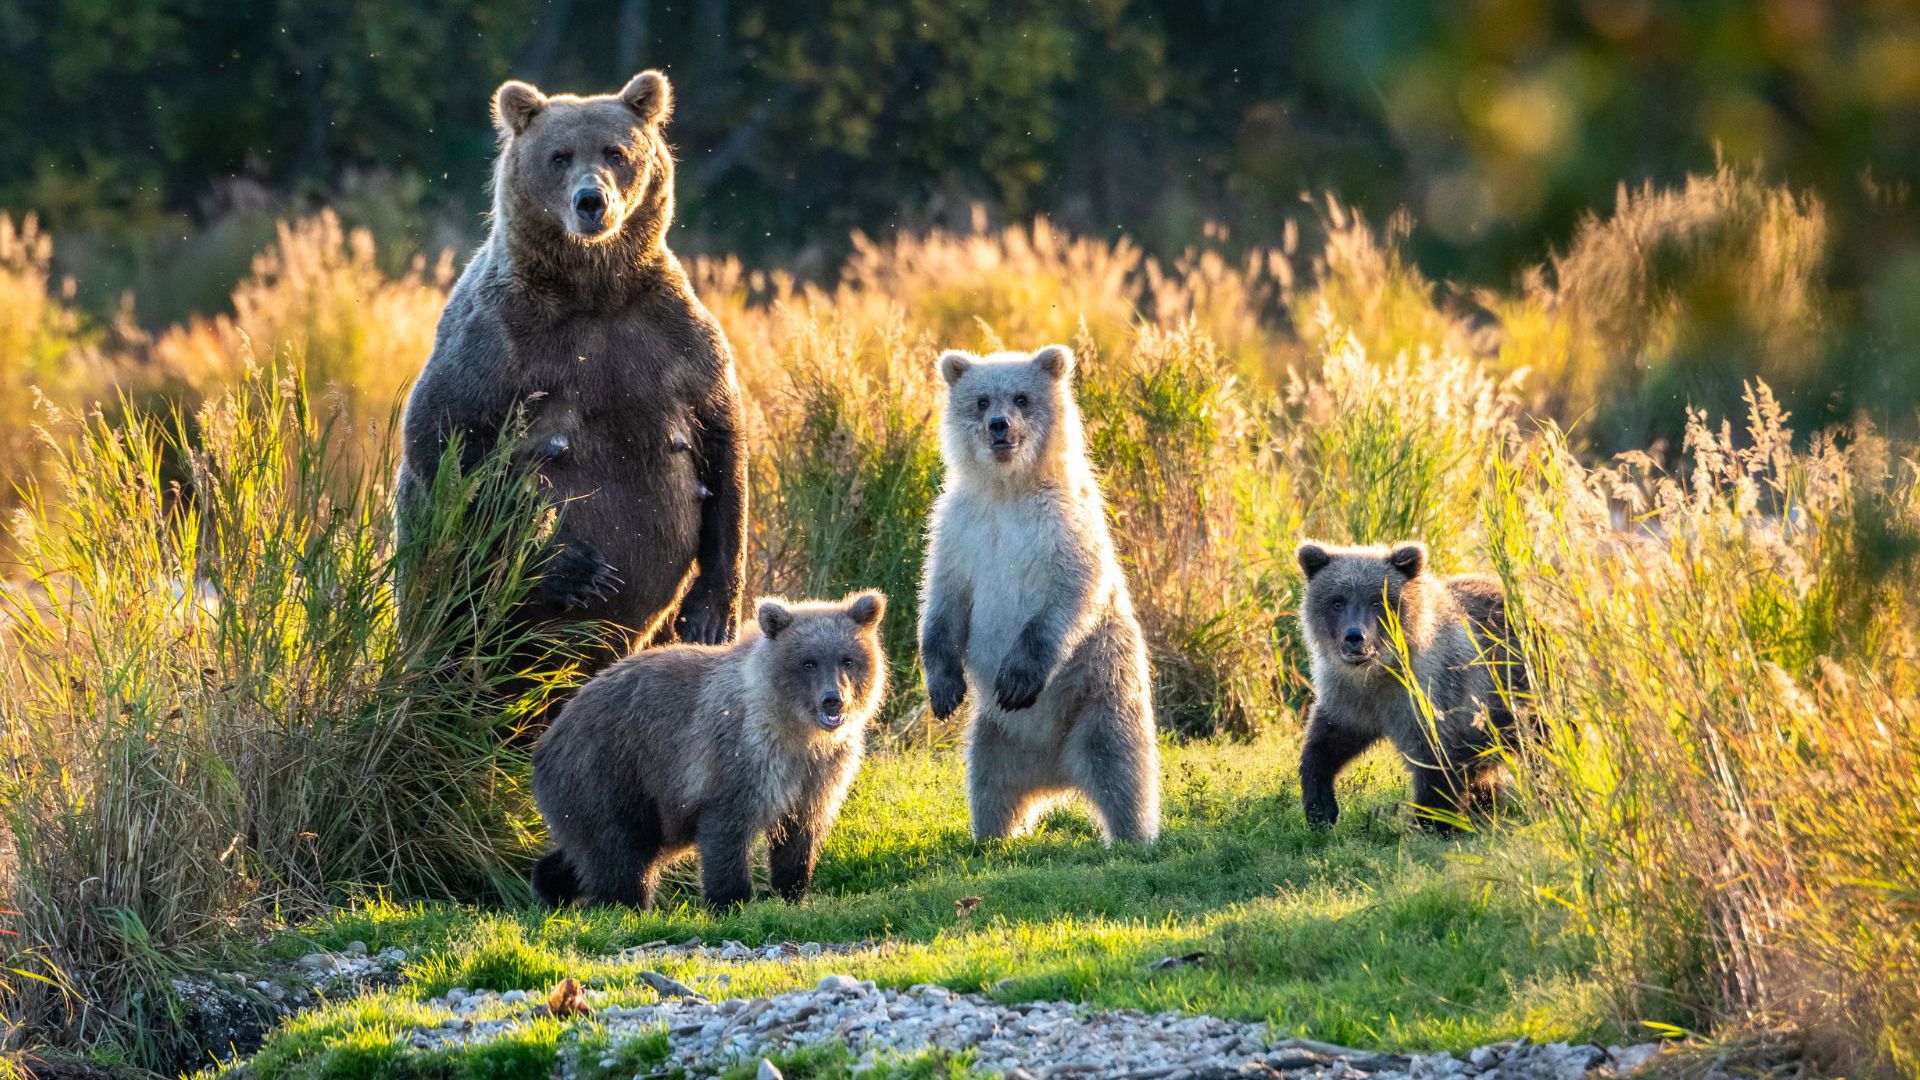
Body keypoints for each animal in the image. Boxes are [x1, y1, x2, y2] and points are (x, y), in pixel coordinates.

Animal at [397, 69, 746, 662]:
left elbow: (724, 443)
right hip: (446, 597)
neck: (593, 291)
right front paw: (572, 568)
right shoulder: (499, 337)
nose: (591, 201)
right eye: (559, 156)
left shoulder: (671, 334)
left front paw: (709, 615)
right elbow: (443, 436)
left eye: (616, 152)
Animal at [530, 591, 887, 909]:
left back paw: (550, 887)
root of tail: (549, 736)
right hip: (609, 769)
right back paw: (628, 906)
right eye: (808, 662)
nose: (833, 700)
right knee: (620, 851)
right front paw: (732, 901)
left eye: (848, 659)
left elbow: (801, 833)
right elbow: (727, 831)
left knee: (589, 850)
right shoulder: (739, 757)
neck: (796, 731)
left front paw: (792, 893)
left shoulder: (819, 772)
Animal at [919, 345, 1161, 845]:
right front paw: (944, 689)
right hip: (995, 734)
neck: (1009, 490)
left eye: (1022, 398)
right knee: (988, 782)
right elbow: (942, 603)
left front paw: (1017, 680)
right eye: (982, 400)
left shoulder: (1063, 527)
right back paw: (992, 834)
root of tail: (1057, 776)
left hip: (1100, 695)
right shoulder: (960, 530)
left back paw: (1133, 834)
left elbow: (1068, 596)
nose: (1000, 426)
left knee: (1121, 765)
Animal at [1294, 541, 1525, 832]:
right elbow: (1325, 744)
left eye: (1376, 601)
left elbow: (1437, 760)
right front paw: (1320, 810)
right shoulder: (1348, 696)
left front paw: (1431, 823)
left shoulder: (1433, 693)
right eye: (1337, 601)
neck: (1379, 672)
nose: (1354, 637)